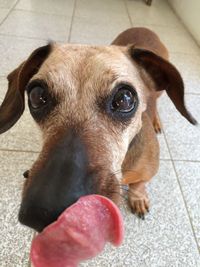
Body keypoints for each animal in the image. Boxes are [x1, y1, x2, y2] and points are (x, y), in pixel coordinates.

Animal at [0, 27, 197, 232]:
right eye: (37, 95)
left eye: (125, 99)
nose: (44, 212)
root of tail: (143, 28)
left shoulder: (147, 172)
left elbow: (138, 185)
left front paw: (138, 198)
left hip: (159, 91)